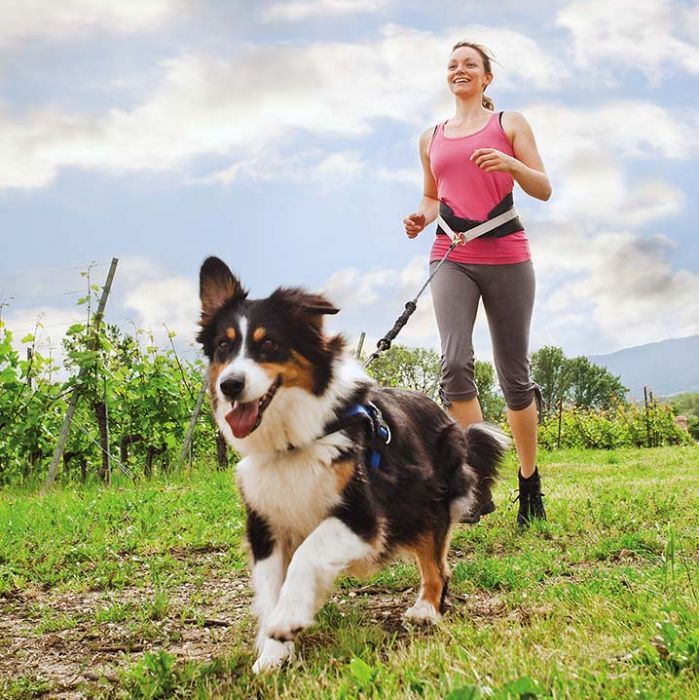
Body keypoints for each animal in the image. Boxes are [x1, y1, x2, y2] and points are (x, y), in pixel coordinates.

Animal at [197, 258, 508, 672]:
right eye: (223, 346)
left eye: (269, 344)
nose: (230, 385)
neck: (294, 441)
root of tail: (444, 415)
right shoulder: (265, 522)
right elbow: (270, 587)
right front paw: (274, 653)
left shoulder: (363, 516)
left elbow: (308, 554)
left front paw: (287, 620)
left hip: (428, 502)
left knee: (436, 564)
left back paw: (426, 609)